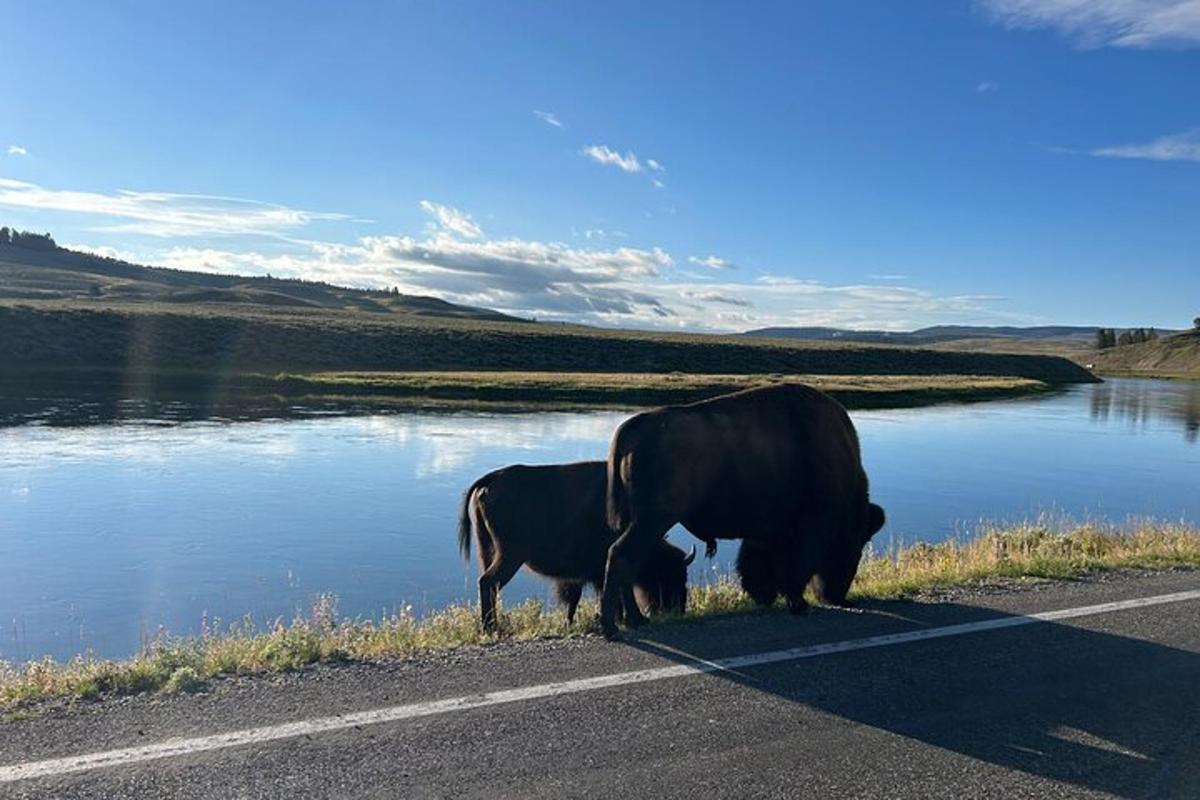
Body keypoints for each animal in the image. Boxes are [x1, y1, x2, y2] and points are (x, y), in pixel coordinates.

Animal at [457, 461, 696, 631]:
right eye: (671, 574)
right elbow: (618, 590)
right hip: (510, 557)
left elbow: (579, 598)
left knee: (488, 584)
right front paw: (626, 619)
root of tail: (490, 480)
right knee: (488, 582)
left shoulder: (582, 575)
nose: (679, 609)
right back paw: (490, 628)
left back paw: (491, 626)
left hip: (487, 550)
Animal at [603, 383, 885, 637]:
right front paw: (798, 604)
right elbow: (798, 564)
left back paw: (634, 621)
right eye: (857, 544)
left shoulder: (767, 531)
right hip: (652, 521)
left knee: (627, 563)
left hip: (638, 522)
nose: (838, 597)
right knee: (620, 556)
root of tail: (634, 425)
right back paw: (613, 627)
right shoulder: (811, 525)